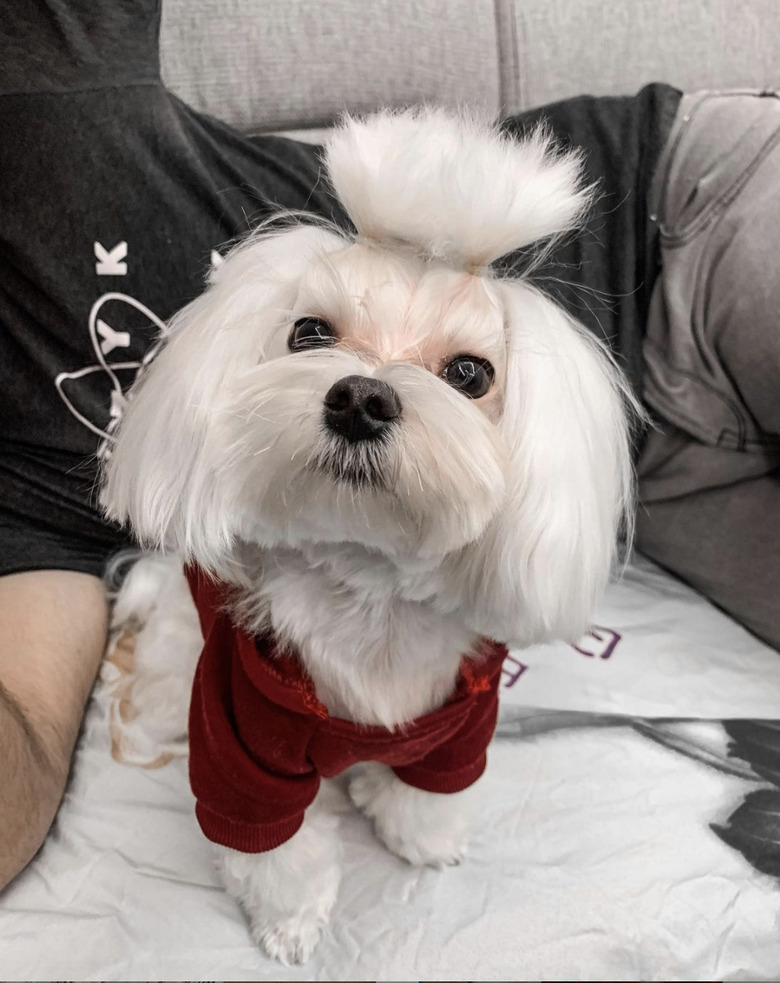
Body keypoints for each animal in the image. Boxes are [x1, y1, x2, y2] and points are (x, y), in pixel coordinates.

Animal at [100, 107, 636, 960]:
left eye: (471, 374)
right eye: (310, 333)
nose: (360, 398)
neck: (369, 592)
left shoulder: (460, 724)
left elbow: (430, 792)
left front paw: (423, 837)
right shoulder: (242, 743)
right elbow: (276, 847)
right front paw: (289, 921)